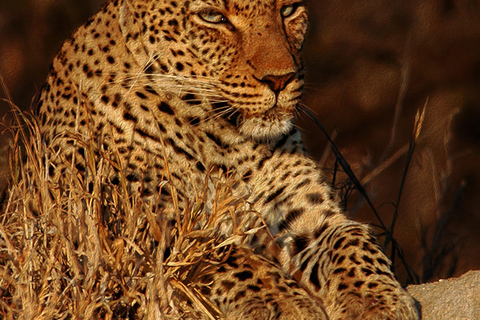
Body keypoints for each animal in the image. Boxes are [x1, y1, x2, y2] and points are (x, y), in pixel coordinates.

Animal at [35, 0, 420, 318]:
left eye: (288, 9)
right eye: (212, 17)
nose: (280, 79)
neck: (226, 143)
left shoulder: (306, 214)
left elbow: (352, 237)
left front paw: (375, 300)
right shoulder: (138, 225)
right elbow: (220, 252)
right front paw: (283, 302)